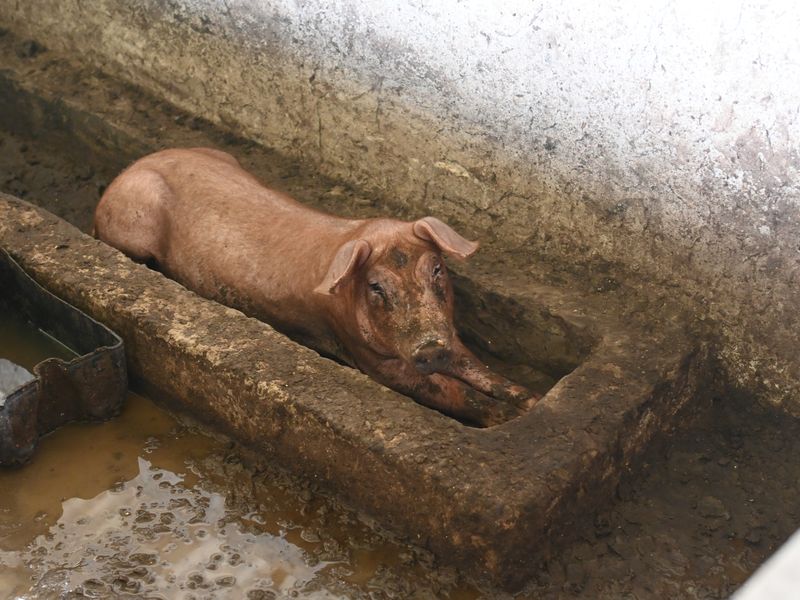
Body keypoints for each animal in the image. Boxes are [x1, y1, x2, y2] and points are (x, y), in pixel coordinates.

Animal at [94, 148, 540, 426]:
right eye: (376, 287)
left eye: (436, 270)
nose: (429, 347)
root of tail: (127, 171)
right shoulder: (374, 361)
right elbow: (451, 392)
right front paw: (512, 418)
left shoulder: (449, 333)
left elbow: (479, 368)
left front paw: (533, 401)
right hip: (131, 226)